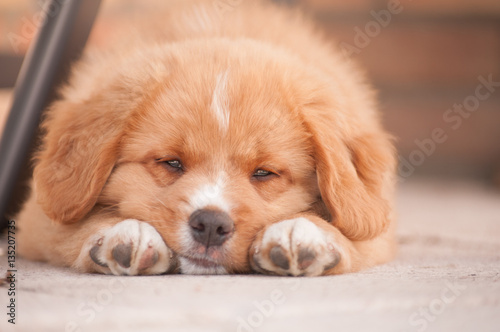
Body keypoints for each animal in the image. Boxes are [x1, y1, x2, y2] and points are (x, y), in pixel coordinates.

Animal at [15, 0, 396, 276]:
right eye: (170, 163)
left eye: (264, 173)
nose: (211, 225)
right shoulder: (39, 218)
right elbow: (78, 225)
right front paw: (123, 232)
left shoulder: (378, 226)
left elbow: (349, 233)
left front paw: (301, 232)